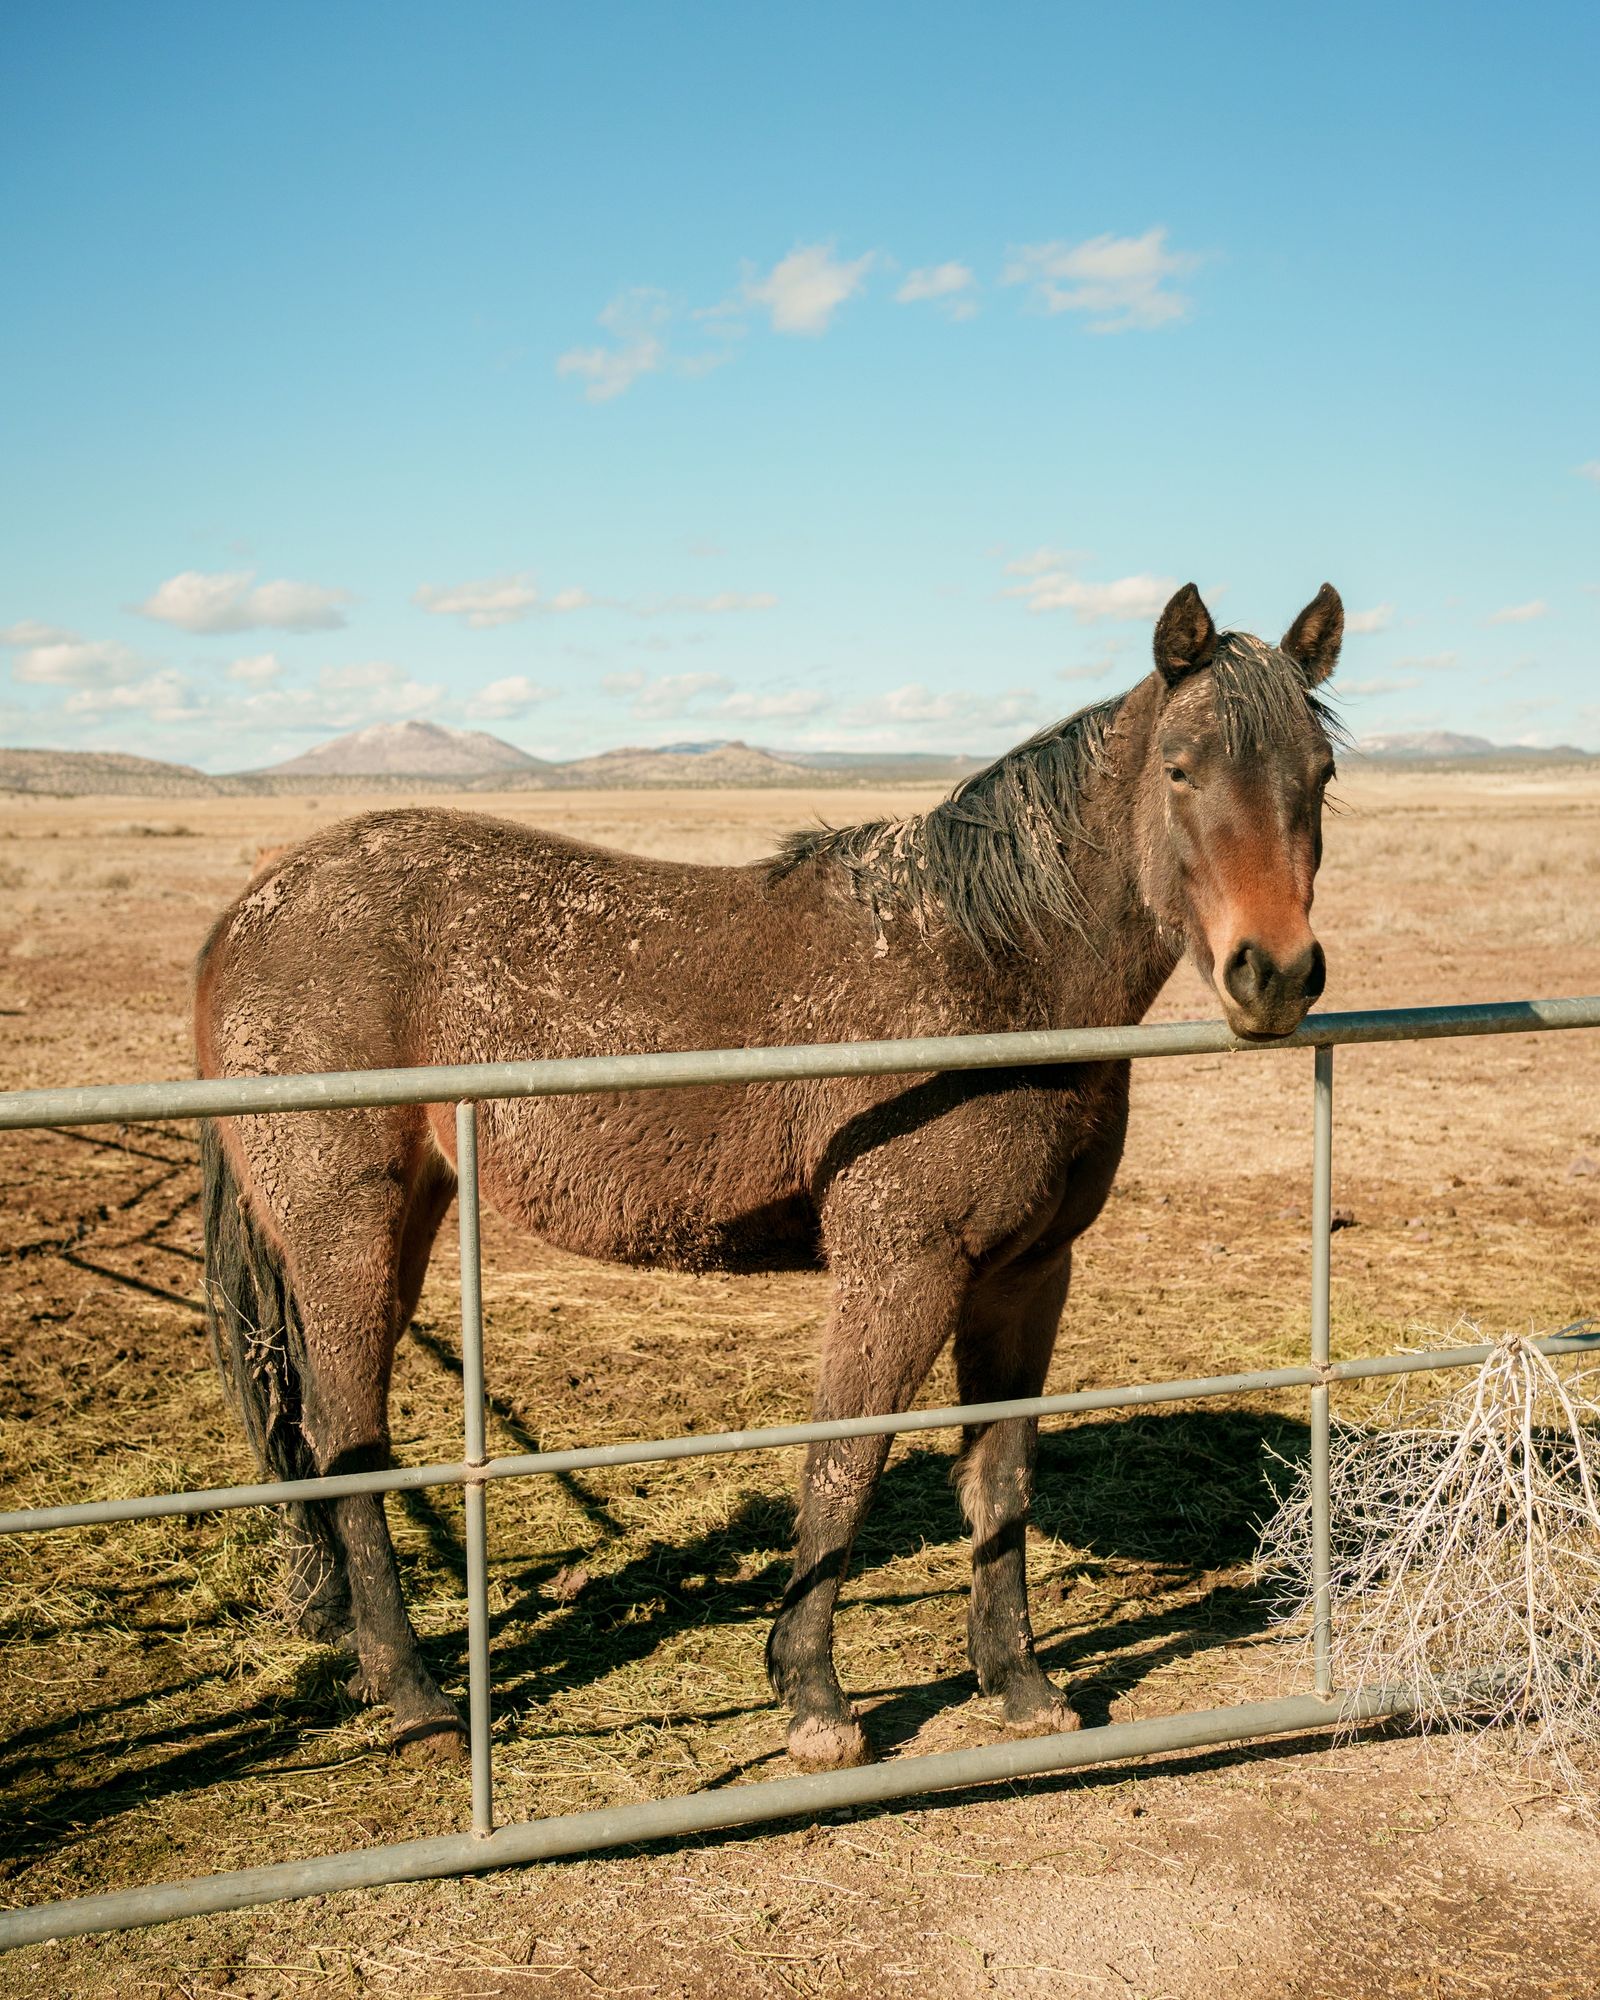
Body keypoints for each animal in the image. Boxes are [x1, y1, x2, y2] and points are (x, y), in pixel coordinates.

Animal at [196, 581, 1343, 1769]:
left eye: (1320, 775)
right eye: (1181, 768)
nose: (1274, 973)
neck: (993, 978)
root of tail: (254, 906)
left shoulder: (1026, 1275)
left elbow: (999, 1480)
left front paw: (1021, 1685)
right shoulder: (901, 1270)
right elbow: (845, 1464)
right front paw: (813, 1701)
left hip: (407, 1219)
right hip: (346, 1234)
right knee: (345, 1439)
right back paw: (417, 1696)